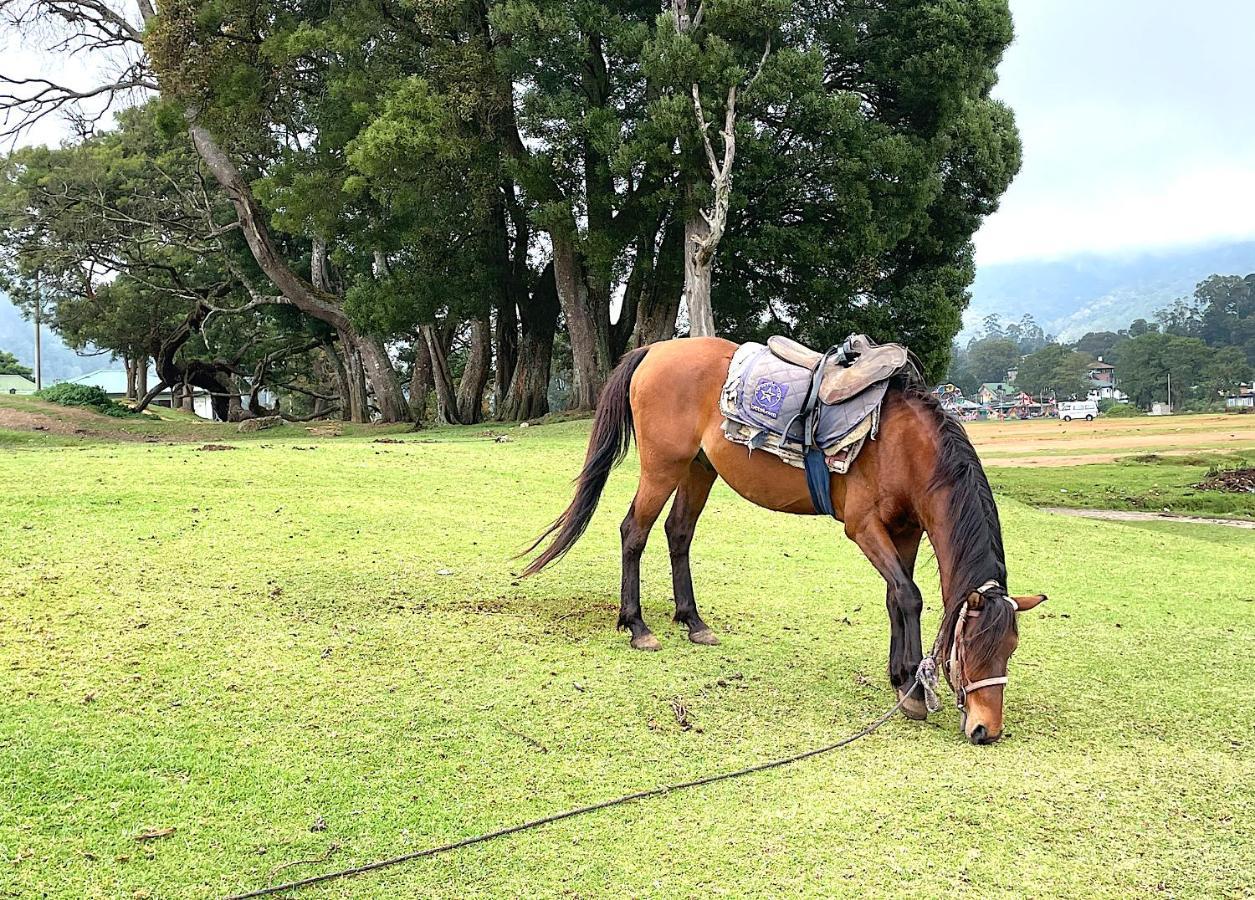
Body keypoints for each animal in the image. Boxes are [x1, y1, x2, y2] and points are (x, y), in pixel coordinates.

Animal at [522, 336, 1049, 743]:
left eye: (1011, 648)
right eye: (972, 649)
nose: (986, 730)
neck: (907, 446)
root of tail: (655, 350)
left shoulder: (906, 531)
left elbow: (896, 598)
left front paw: (900, 678)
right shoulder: (864, 528)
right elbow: (909, 596)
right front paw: (914, 691)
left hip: (698, 468)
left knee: (678, 533)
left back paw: (693, 621)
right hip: (663, 466)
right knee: (634, 531)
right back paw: (637, 626)